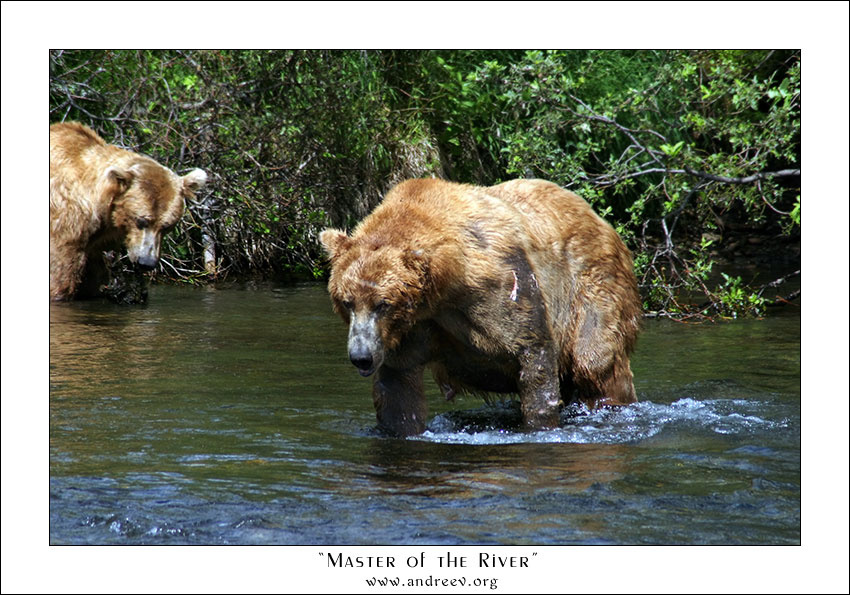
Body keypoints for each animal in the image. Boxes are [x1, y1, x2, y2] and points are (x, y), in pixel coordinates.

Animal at [49, 121, 207, 301]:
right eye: (141, 220)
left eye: (167, 226)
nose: (146, 262)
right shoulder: (66, 224)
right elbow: (60, 277)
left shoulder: (95, 241)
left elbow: (93, 277)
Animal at [320, 178, 641, 437]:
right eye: (347, 301)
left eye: (382, 304)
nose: (361, 357)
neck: (441, 291)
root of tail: (601, 219)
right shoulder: (407, 332)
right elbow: (398, 391)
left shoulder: (501, 287)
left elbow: (532, 353)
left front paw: (539, 424)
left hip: (593, 284)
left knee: (594, 359)